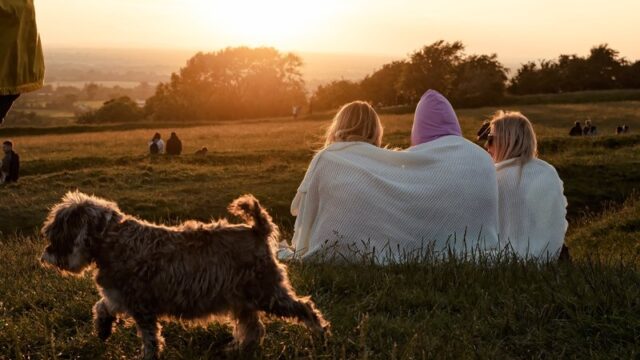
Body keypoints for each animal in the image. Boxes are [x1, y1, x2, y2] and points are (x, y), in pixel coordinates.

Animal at [40, 191, 330, 358]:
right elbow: (101, 306)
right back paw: (236, 349)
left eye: (58, 231)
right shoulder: (119, 297)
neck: (113, 240)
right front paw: (102, 329)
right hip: (242, 300)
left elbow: (150, 340)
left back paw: (321, 336)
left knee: (304, 308)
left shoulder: (142, 307)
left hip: (267, 293)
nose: (46, 255)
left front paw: (146, 356)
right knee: (253, 328)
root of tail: (257, 229)